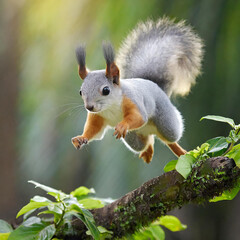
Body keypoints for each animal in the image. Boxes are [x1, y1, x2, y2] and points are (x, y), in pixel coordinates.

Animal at [71, 17, 202, 163]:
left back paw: (182, 152)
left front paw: (123, 125)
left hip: (166, 123)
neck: (110, 107)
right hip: (133, 137)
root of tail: (155, 85)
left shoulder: (132, 100)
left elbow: (139, 117)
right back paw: (148, 151)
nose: (89, 107)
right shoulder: (97, 116)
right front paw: (81, 138)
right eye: (81, 92)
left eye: (106, 90)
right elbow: (94, 130)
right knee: (148, 141)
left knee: (170, 139)